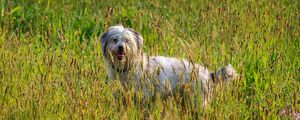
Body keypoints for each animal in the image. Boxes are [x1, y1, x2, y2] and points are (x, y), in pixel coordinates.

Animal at [102, 25, 238, 103]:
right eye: (114, 40)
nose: (121, 48)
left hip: (198, 100)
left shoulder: (143, 96)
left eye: (127, 40)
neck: (127, 66)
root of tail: (208, 73)